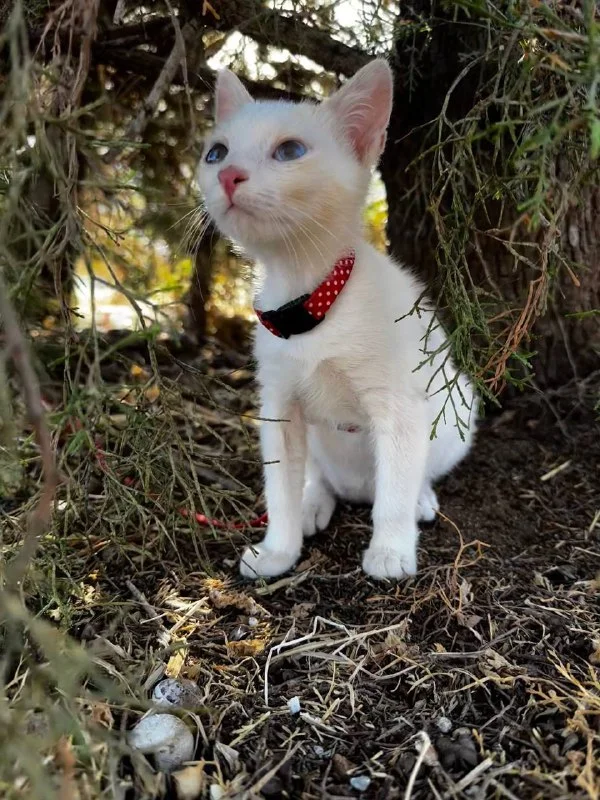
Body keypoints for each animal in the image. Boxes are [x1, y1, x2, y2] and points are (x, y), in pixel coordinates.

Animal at [196, 59, 477, 580]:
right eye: (216, 153)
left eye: (290, 151)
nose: (229, 174)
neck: (310, 303)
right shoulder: (279, 406)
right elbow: (279, 489)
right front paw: (278, 551)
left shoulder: (400, 406)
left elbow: (394, 491)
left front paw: (390, 551)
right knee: (317, 475)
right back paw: (315, 500)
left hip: (457, 406)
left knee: (411, 475)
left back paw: (419, 499)